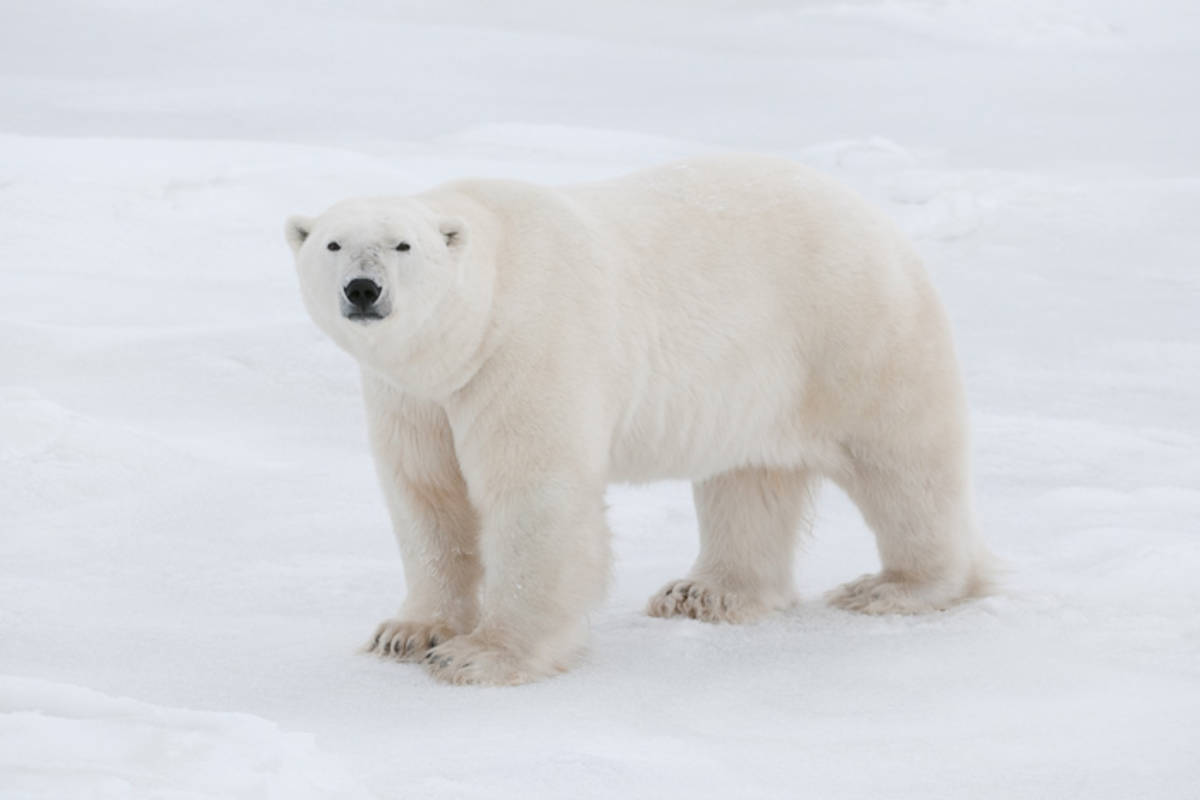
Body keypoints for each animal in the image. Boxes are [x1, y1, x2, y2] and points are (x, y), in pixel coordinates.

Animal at [285, 154, 991, 686]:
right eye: (333, 242)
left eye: (403, 245)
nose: (363, 289)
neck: (476, 322)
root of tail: (874, 217)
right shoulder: (413, 395)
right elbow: (426, 495)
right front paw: (407, 632)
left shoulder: (528, 348)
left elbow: (533, 494)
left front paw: (482, 656)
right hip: (757, 379)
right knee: (747, 480)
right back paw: (706, 593)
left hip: (850, 328)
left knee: (903, 462)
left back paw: (896, 587)